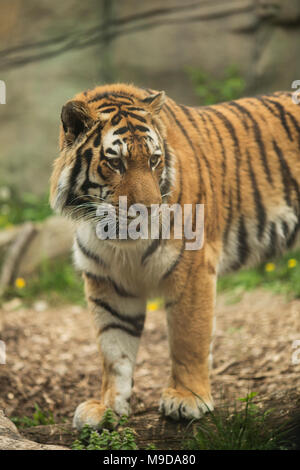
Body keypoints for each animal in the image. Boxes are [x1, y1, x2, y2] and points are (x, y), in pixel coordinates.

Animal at [50, 81, 298, 430]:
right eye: (116, 163)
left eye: (154, 160)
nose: (150, 210)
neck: (115, 237)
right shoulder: (107, 282)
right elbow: (113, 349)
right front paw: (107, 408)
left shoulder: (192, 267)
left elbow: (188, 336)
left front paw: (187, 399)